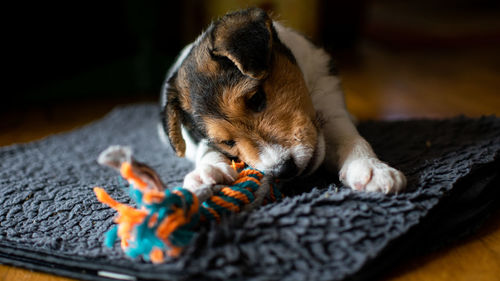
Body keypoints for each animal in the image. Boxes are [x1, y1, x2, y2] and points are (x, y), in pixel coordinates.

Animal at [159, 7, 406, 194]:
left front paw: (372, 169)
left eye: (256, 98)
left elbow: (351, 139)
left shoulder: (331, 105)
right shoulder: (201, 141)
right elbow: (206, 150)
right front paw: (208, 173)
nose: (283, 170)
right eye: (227, 142)